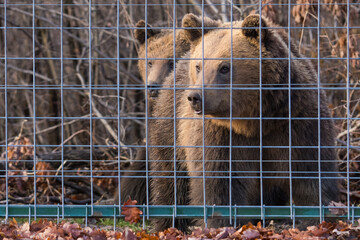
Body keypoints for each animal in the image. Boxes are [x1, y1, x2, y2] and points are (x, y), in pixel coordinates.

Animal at [148, 13, 338, 231]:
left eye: (224, 67)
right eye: (198, 66)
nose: (195, 97)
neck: (256, 121)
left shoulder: (297, 122)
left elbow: (311, 172)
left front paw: (315, 220)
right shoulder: (220, 135)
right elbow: (220, 181)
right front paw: (222, 223)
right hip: (171, 127)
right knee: (171, 179)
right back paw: (169, 223)